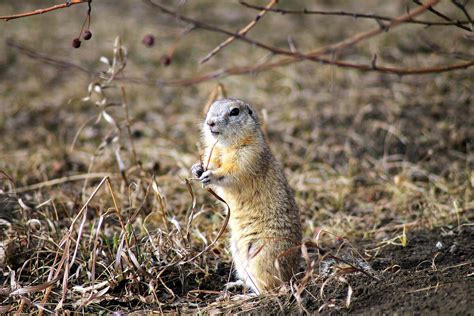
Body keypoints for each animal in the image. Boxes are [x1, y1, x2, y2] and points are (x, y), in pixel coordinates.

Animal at [191, 98, 302, 294]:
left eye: (234, 111)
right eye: (211, 107)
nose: (210, 122)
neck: (226, 146)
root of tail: (293, 275)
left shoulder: (248, 155)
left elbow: (231, 171)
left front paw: (210, 174)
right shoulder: (213, 152)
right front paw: (197, 168)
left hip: (261, 255)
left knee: (269, 289)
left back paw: (245, 296)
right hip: (238, 253)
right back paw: (234, 285)